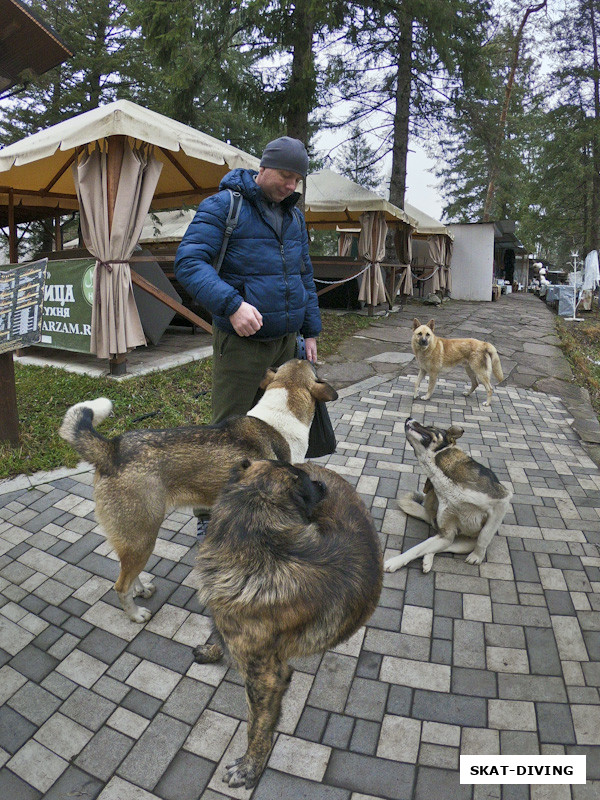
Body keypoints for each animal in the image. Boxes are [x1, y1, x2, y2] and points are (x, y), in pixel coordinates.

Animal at [59, 360, 338, 620]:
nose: (308, 353)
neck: (281, 414)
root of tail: (111, 450)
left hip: (135, 540)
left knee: (128, 572)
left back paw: (141, 590)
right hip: (143, 538)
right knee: (120, 585)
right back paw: (135, 614)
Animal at [197, 460, 384, 792]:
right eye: (305, 481)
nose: (321, 485)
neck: (256, 545)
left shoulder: (266, 679)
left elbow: (256, 727)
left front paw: (249, 767)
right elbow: (220, 635)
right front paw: (213, 648)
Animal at [384, 418, 510, 576]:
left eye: (430, 426)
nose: (408, 418)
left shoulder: (502, 501)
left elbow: (484, 536)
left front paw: (476, 557)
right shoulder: (446, 533)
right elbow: (415, 549)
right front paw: (395, 562)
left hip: (465, 544)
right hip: (447, 534)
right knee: (436, 547)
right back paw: (427, 560)